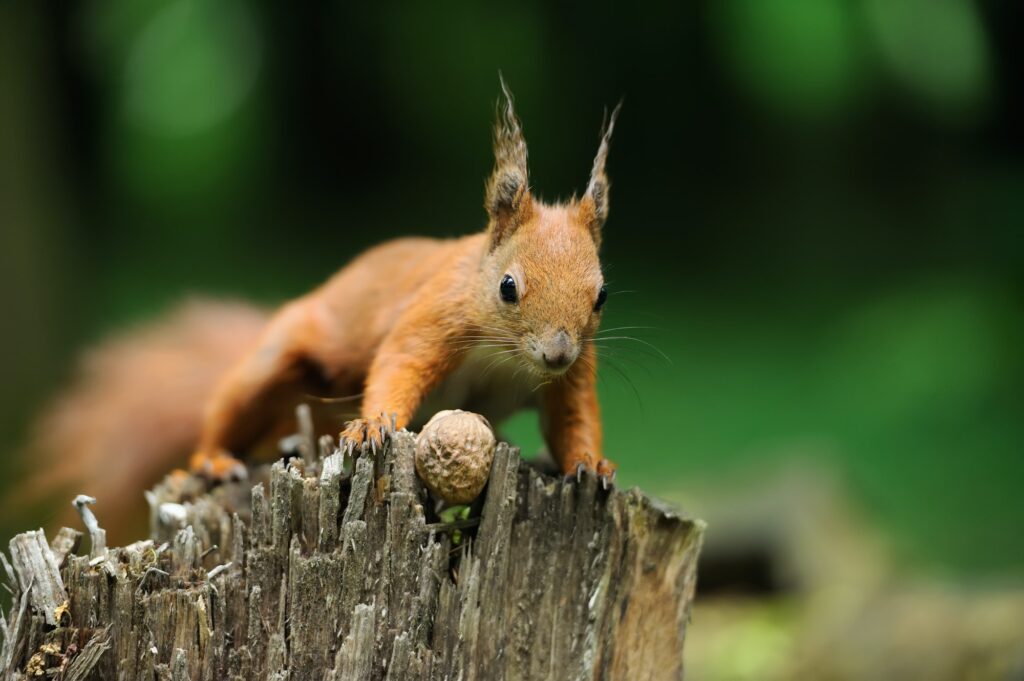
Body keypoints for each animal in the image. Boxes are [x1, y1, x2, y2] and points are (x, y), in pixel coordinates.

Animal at [12, 79, 620, 537]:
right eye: (508, 287)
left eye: (601, 295)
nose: (557, 353)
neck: (505, 356)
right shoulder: (433, 318)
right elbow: (399, 364)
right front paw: (373, 427)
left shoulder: (573, 375)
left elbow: (573, 419)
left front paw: (591, 466)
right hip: (276, 360)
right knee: (225, 413)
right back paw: (212, 458)